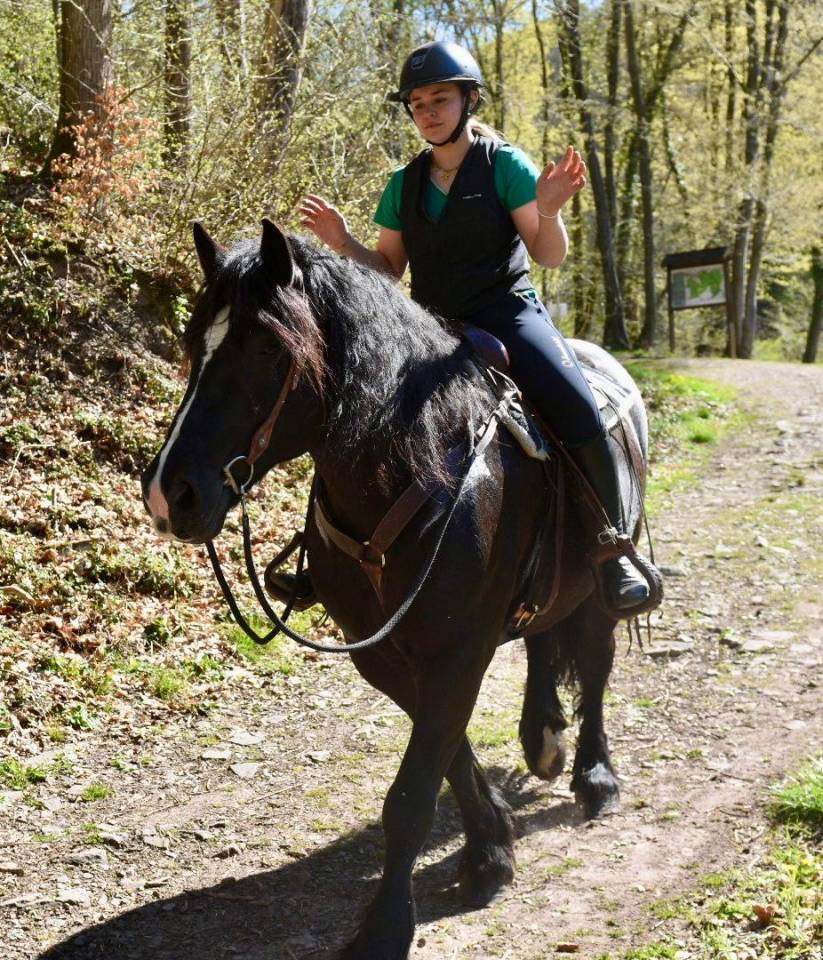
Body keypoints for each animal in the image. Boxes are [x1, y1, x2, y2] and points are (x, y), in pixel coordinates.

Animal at [141, 219, 650, 960]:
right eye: (191, 344)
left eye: (266, 347)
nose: (168, 494)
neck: (421, 465)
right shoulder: (383, 653)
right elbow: (446, 753)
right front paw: (490, 849)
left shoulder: (457, 653)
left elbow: (411, 794)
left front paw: (385, 925)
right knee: (541, 645)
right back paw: (543, 738)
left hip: (598, 587)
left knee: (594, 662)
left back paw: (594, 775)